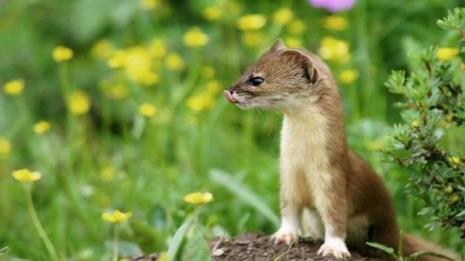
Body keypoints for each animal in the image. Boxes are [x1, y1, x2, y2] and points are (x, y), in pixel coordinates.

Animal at [225, 39, 456, 258]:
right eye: (245, 70)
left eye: (257, 79)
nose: (230, 90)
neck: (303, 159)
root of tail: (395, 230)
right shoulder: (287, 174)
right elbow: (288, 208)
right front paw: (284, 235)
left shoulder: (332, 176)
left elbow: (335, 216)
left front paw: (333, 247)